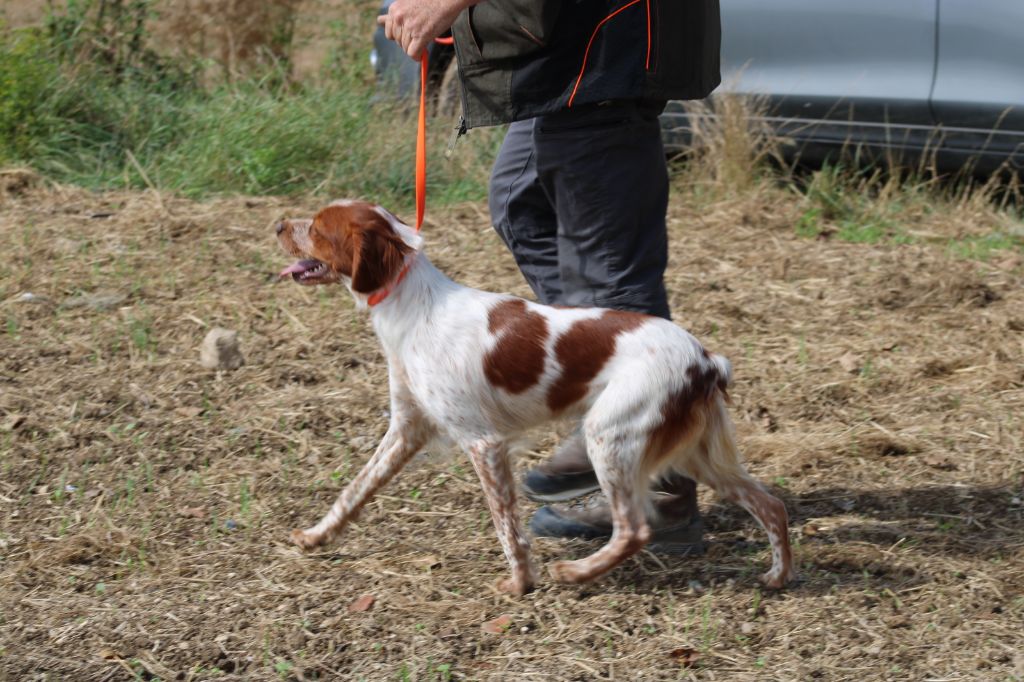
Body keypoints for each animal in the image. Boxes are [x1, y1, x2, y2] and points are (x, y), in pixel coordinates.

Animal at [272, 199, 790, 593]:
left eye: (315, 228)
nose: (277, 224)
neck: (413, 304)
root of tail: (705, 359)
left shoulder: (483, 443)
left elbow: (507, 527)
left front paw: (520, 583)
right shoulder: (407, 428)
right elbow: (354, 490)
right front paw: (316, 536)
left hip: (610, 436)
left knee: (634, 529)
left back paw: (575, 571)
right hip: (695, 454)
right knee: (771, 506)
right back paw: (777, 576)